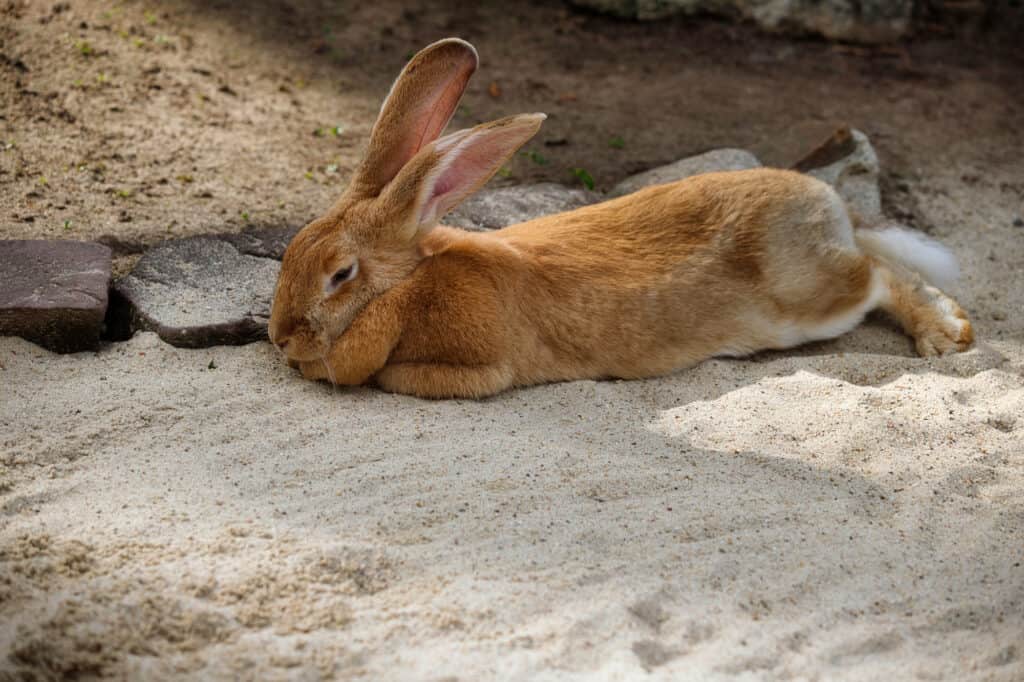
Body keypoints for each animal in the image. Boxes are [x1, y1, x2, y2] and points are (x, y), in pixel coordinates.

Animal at [268, 38, 972, 399]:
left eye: (341, 276)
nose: (278, 338)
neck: (411, 284)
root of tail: (827, 203)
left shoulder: (474, 369)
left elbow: (396, 376)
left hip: (814, 299)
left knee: (880, 274)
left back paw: (944, 335)